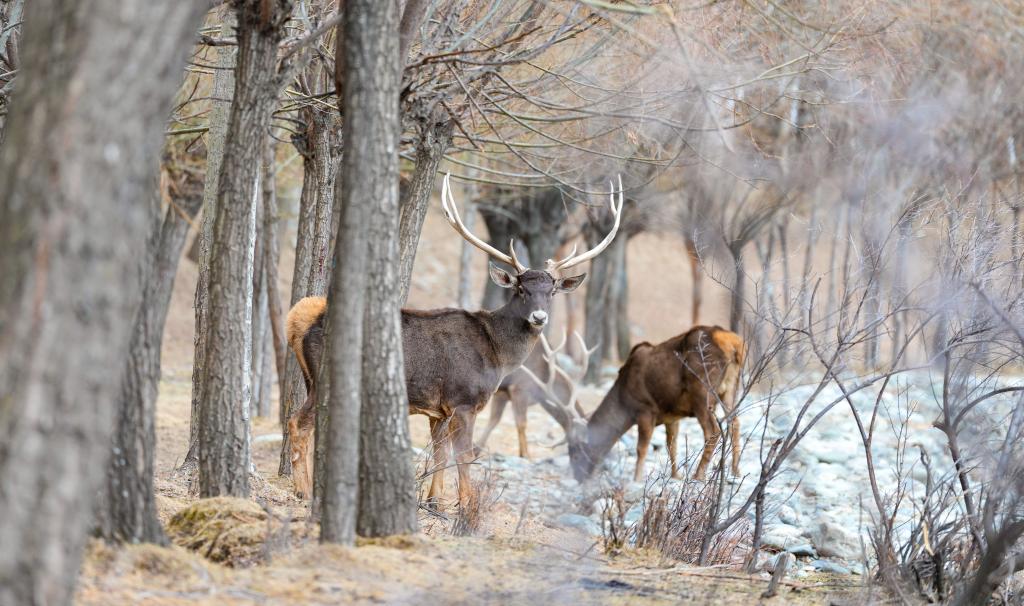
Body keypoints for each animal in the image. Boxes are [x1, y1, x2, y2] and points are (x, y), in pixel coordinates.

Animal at [286, 173, 623, 505]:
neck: (498, 354)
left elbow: (440, 454)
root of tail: (299, 318)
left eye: (551, 291)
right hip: (325, 375)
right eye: (521, 289)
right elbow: (464, 455)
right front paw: (466, 504)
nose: (539, 317)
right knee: (298, 422)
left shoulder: (439, 409)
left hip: (310, 378)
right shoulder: (464, 400)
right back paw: (303, 491)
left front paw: (435, 500)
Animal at [526, 325, 744, 484]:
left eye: (575, 452)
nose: (578, 478)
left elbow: (642, 448)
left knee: (712, 431)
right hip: (731, 389)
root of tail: (733, 342)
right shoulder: (672, 415)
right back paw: (735, 470)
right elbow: (671, 445)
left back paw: (698, 475)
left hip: (702, 391)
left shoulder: (645, 409)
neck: (623, 401)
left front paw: (637, 478)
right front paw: (675, 475)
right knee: (735, 421)